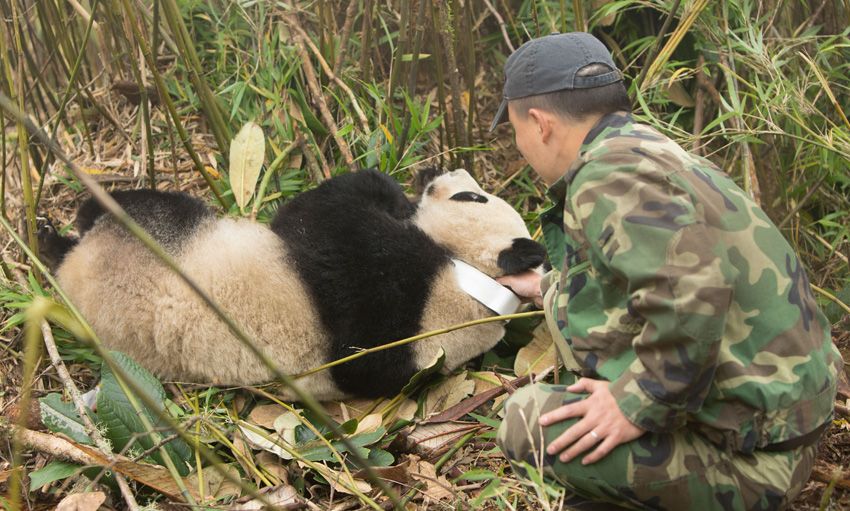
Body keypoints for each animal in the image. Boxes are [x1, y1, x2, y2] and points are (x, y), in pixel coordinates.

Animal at [39, 168, 544, 400]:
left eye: (472, 197)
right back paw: (49, 237)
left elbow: (318, 216)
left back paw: (59, 235)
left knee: (125, 207)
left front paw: (391, 194)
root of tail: (76, 278)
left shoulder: (392, 285)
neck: (475, 286)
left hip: (157, 234)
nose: (439, 175)